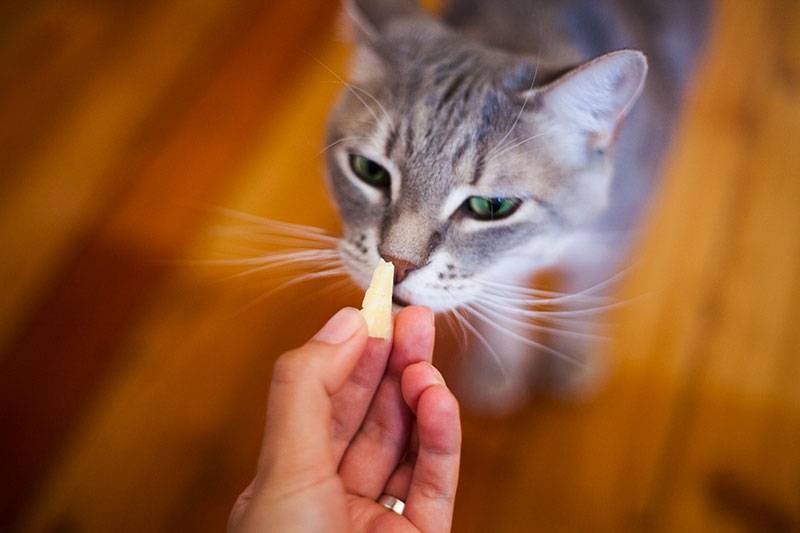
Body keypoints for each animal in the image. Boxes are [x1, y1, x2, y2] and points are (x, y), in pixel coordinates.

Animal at [322, 0, 708, 412]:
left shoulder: (611, 240)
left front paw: (574, 357)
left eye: (492, 206)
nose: (397, 264)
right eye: (369, 170)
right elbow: (500, 309)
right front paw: (499, 369)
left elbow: (588, 296)